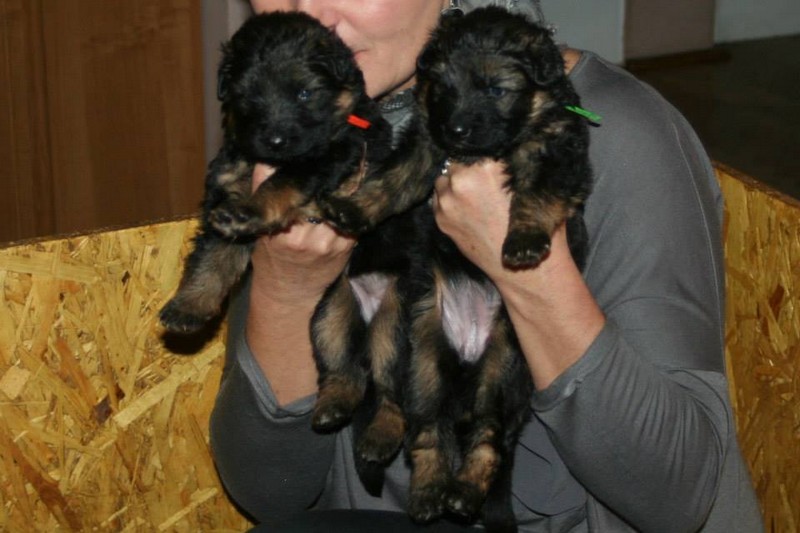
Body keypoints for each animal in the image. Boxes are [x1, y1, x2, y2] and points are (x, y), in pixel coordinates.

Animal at [320, 7, 594, 531]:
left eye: (495, 89)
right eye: (443, 88)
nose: (459, 131)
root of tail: (467, 350)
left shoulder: (556, 152)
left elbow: (536, 194)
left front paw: (524, 239)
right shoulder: (426, 145)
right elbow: (392, 181)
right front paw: (356, 208)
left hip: (505, 368)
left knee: (488, 438)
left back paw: (465, 493)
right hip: (422, 357)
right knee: (429, 430)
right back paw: (430, 492)